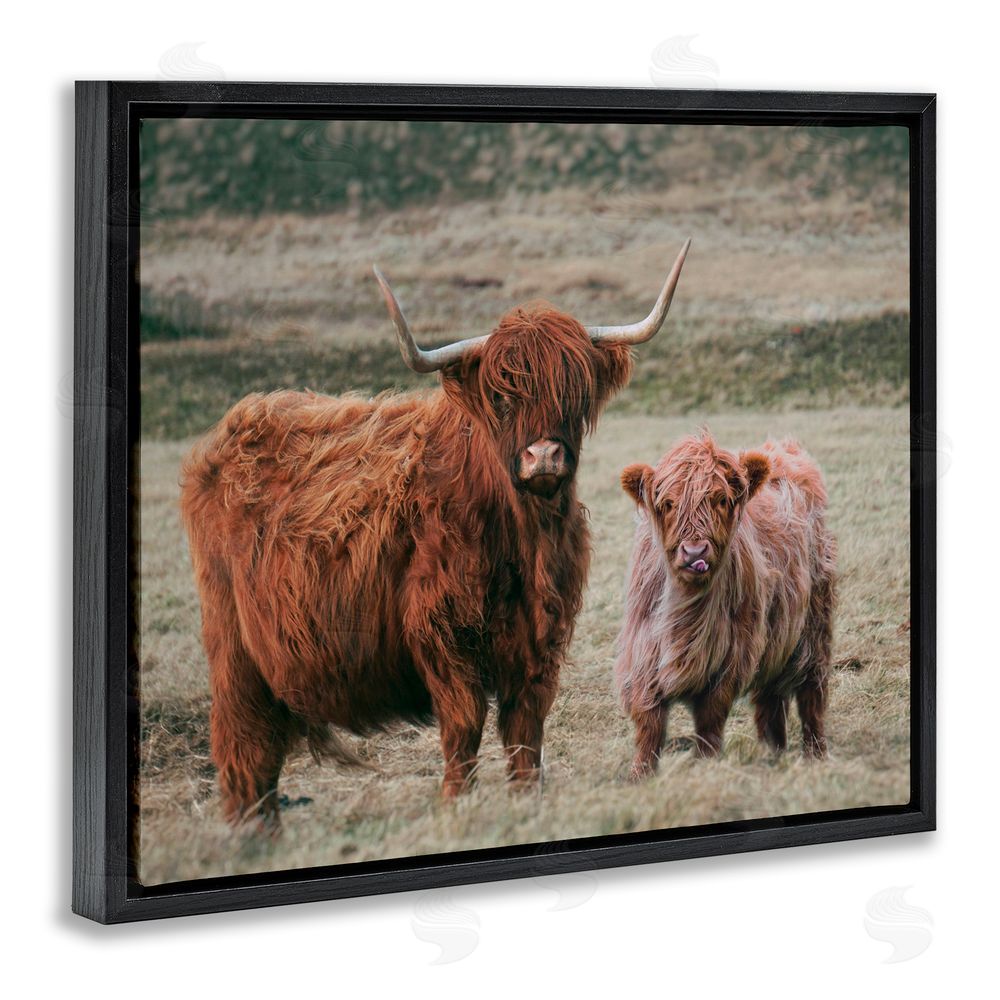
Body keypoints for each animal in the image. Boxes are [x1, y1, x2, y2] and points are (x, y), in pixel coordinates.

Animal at [180, 240, 691, 829]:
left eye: (574, 390)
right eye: (501, 396)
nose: (543, 456)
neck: (522, 540)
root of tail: (235, 426)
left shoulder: (539, 639)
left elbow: (525, 731)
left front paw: (526, 801)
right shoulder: (441, 631)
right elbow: (464, 724)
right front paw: (454, 805)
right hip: (233, 645)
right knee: (243, 743)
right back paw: (252, 833)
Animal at [614, 431, 836, 780]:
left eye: (720, 499)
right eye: (668, 504)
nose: (694, 552)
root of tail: (782, 447)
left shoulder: (729, 658)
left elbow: (709, 720)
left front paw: (705, 764)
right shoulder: (643, 654)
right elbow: (649, 723)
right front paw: (640, 774)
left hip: (815, 625)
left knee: (812, 693)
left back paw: (815, 755)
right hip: (774, 634)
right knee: (770, 698)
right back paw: (772, 753)